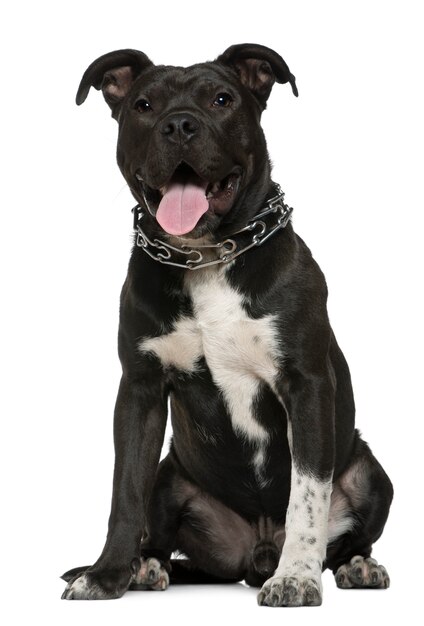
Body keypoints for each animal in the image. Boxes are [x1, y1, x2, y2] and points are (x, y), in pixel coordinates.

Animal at [61, 44, 392, 604]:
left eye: (222, 99)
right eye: (144, 105)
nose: (179, 125)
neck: (208, 257)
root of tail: (253, 554)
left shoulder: (306, 385)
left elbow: (308, 494)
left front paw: (297, 577)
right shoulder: (140, 390)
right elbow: (124, 490)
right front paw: (105, 575)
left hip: (372, 475)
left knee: (349, 536)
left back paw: (356, 567)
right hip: (170, 475)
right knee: (159, 525)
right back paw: (147, 567)